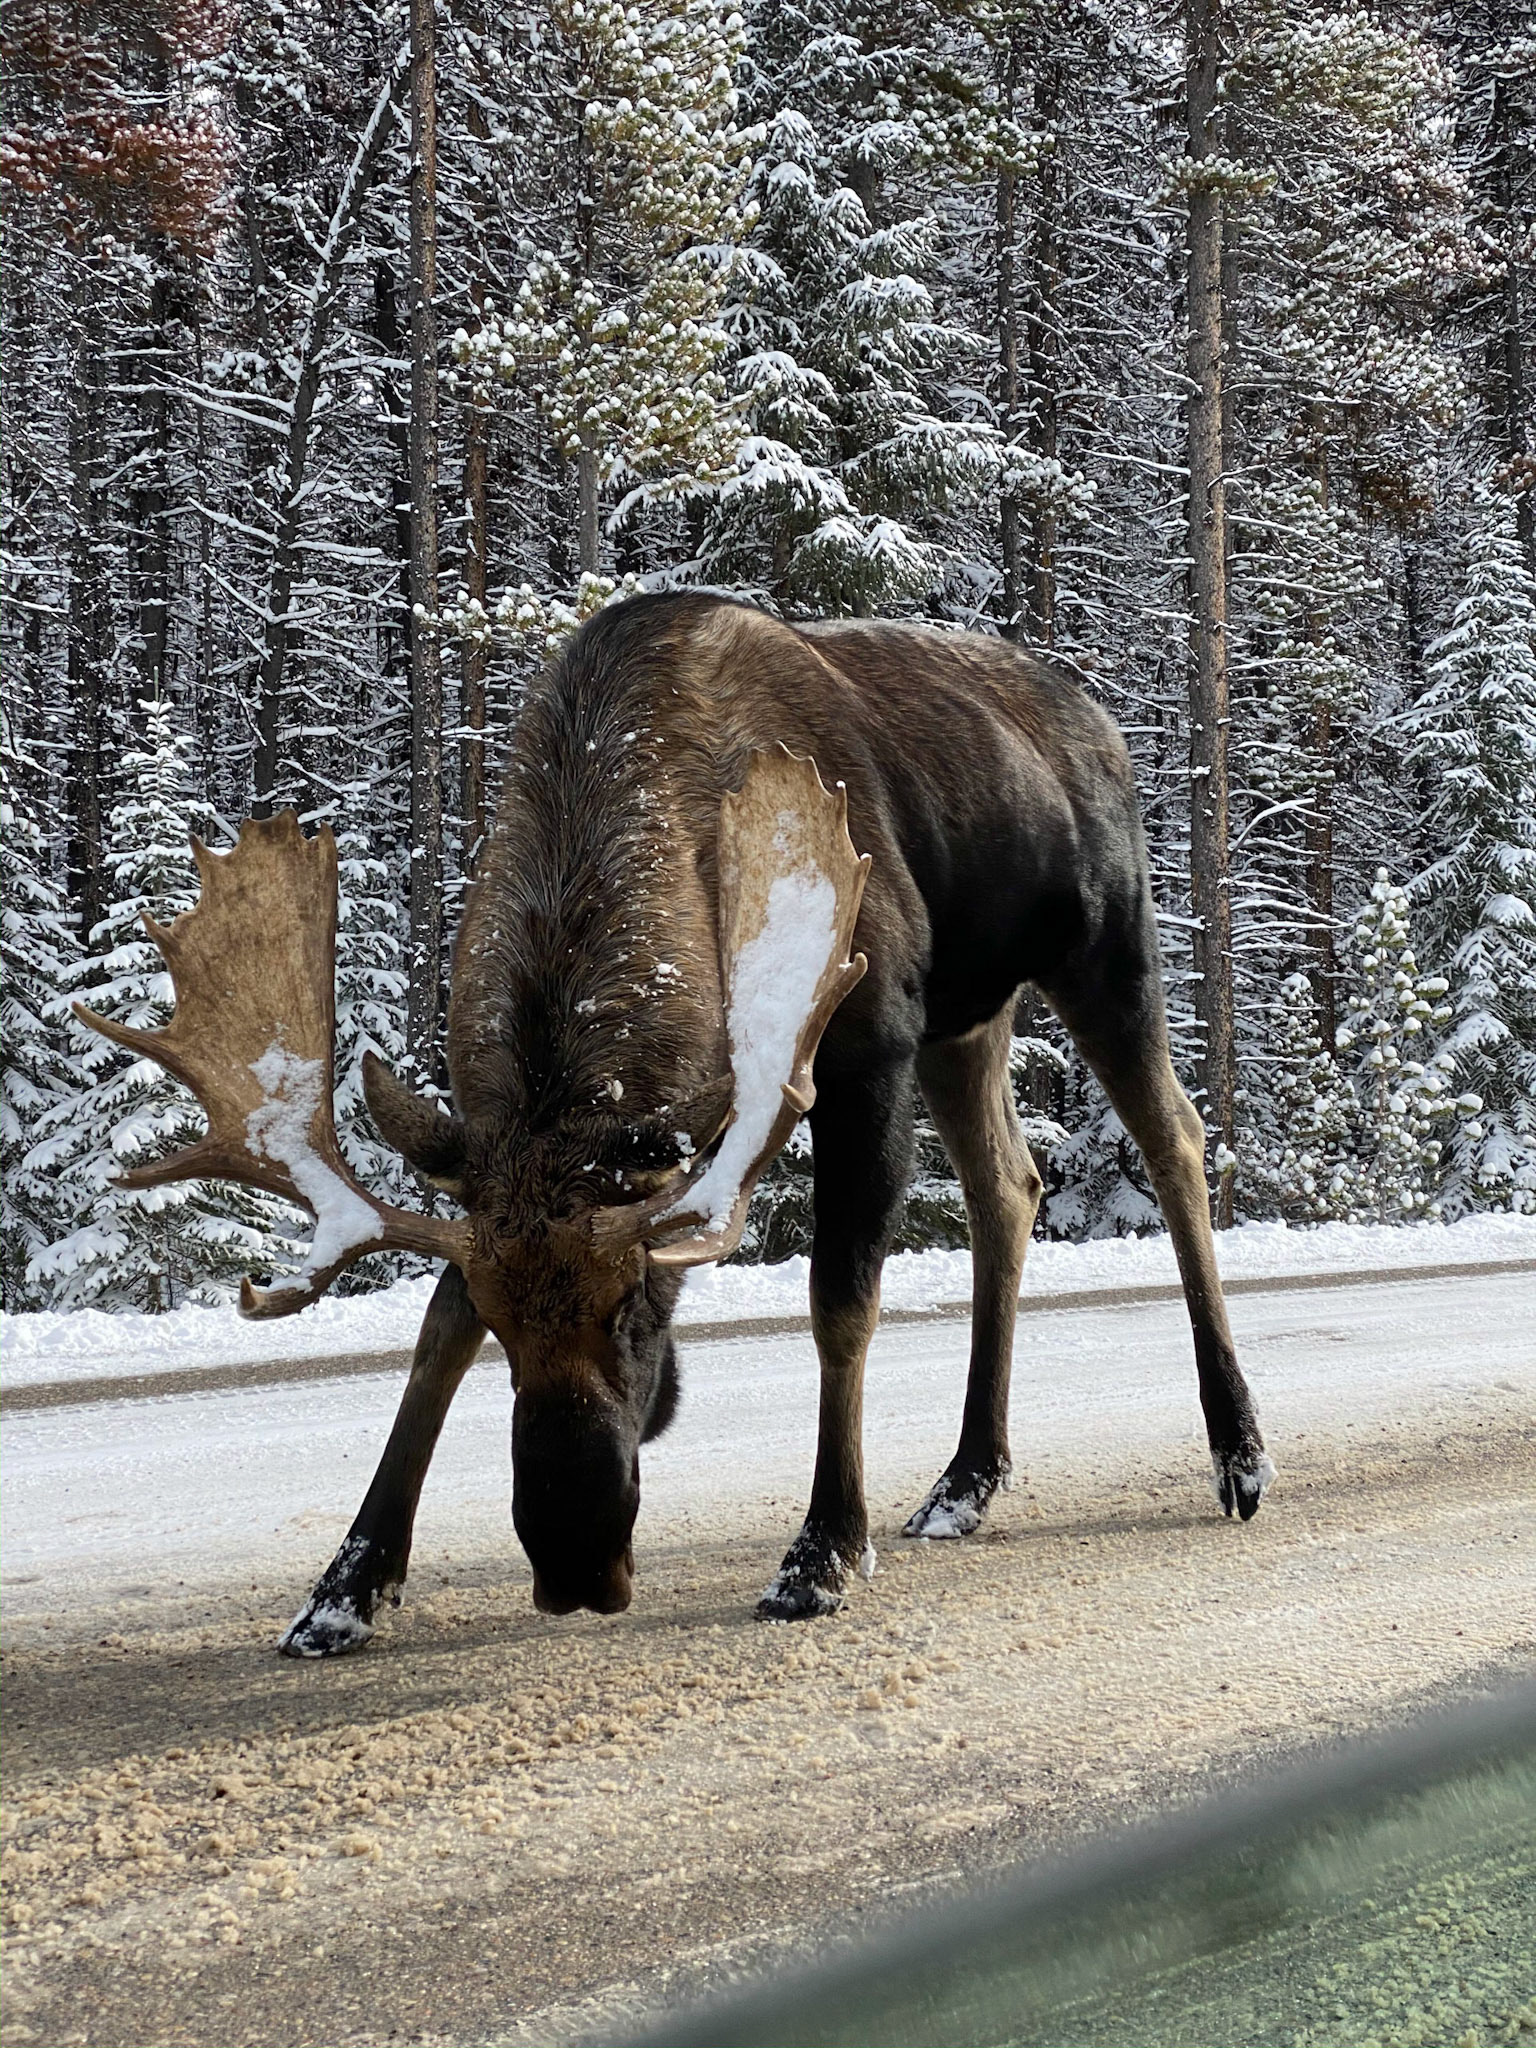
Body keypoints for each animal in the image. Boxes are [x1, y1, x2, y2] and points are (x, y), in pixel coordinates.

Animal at [77, 593, 1275, 1655]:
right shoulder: (495, 1167)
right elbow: (432, 1332)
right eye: (509, 1330)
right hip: (969, 1016)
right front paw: (346, 1586)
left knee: (1175, 1141)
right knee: (1009, 1187)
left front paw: (820, 1552)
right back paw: (965, 1480)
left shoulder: (868, 1040)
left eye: (634, 1309)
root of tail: (1103, 720)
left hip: (1102, 950)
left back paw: (1239, 1450)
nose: (573, 1554)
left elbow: (841, 1298)